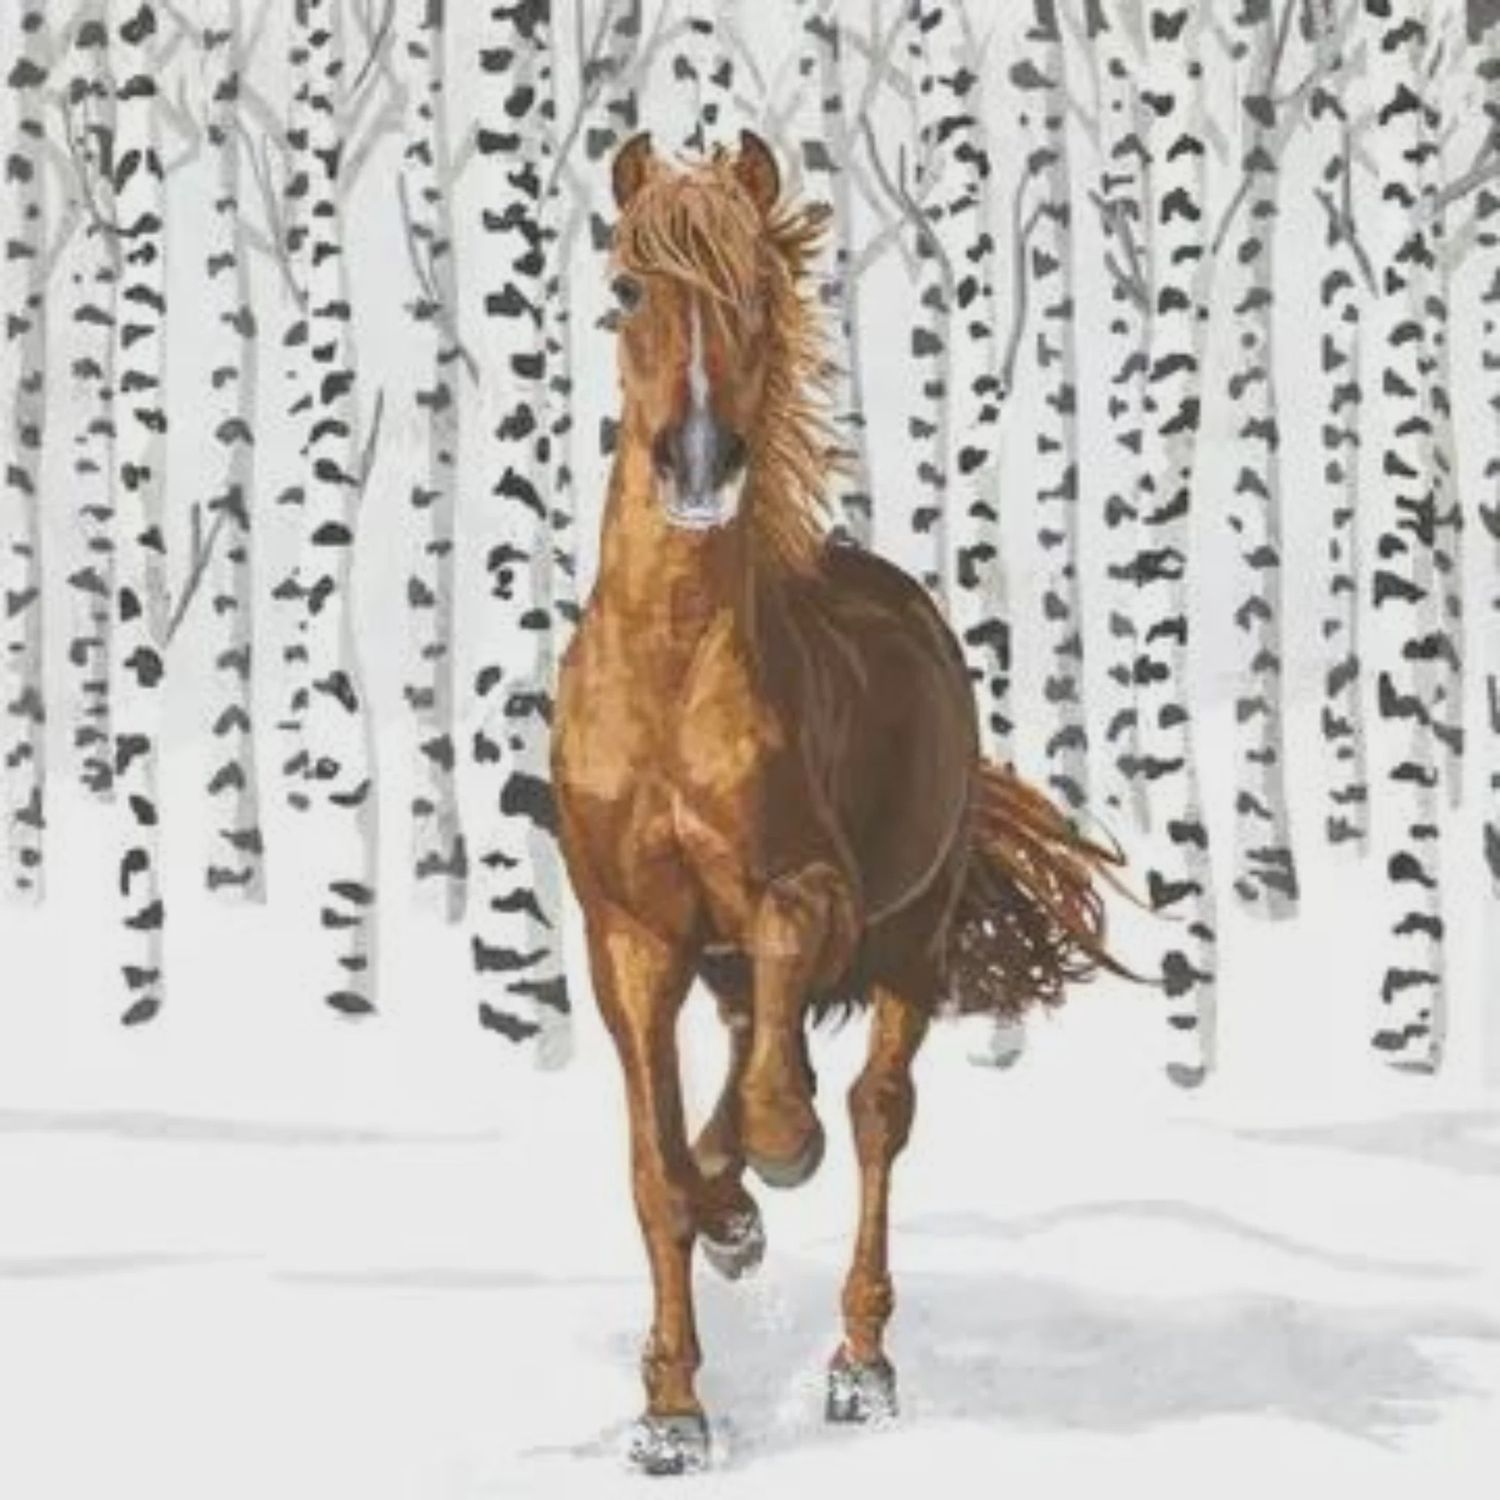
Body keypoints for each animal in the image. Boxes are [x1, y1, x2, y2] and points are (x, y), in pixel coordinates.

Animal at [551, 129, 1123, 1475]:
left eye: (760, 294)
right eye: (627, 289)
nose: (701, 470)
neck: (670, 672)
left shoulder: (811, 897)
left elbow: (781, 1113)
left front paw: (770, 1171)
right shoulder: (631, 940)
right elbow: (656, 1170)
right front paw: (672, 1411)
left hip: (907, 937)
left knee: (874, 1111)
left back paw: (861, 1360)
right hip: (724, 958)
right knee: (748, 1058)